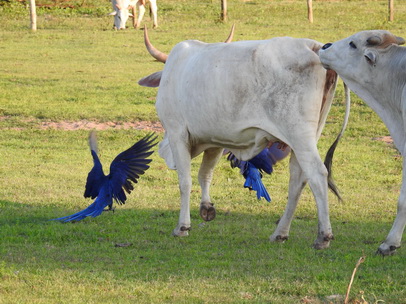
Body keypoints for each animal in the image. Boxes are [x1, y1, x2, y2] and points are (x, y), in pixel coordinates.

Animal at [139, 27, 348, 249]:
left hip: (299, 136)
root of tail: (314, 46)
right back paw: (280, 233)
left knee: (317, 174)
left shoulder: (177, 133)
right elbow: (205, 174)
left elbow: (185, 181)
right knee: (298, 180)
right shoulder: (214, 140)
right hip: (307, 137)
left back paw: (323, 236)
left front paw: (182, 227)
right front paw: (206, 207)